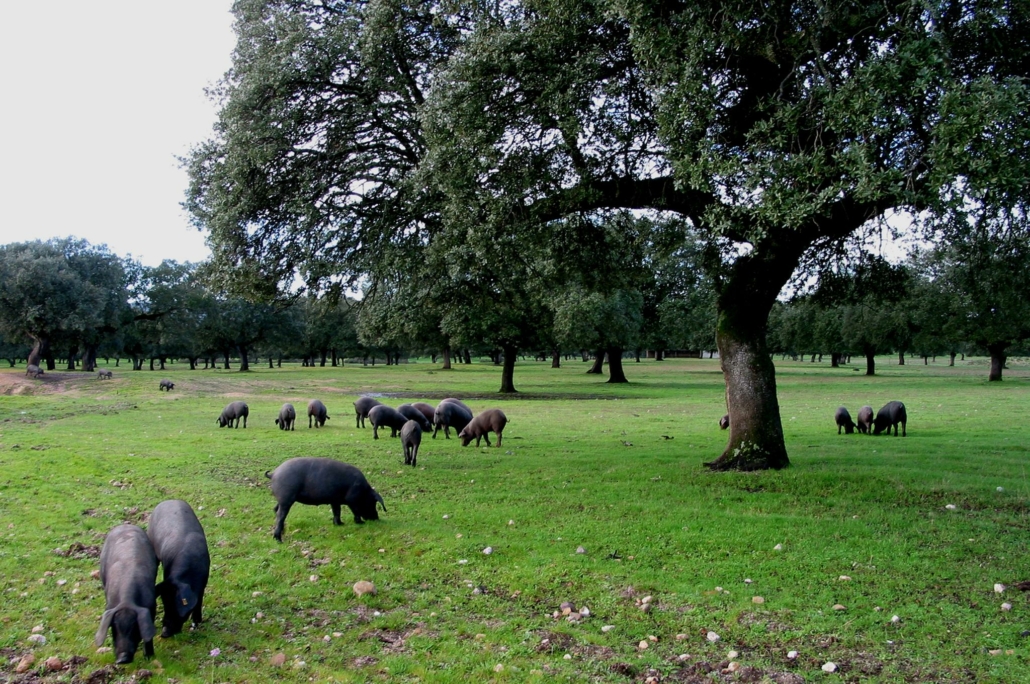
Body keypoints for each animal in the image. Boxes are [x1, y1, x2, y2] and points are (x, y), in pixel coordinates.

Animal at [96, 523, 159, 663]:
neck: (127, 600)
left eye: (135, 628)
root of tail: (124, 524)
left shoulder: (151, 606)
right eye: (114, 627)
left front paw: (149, 656)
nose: (122, 659)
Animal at [147, 500, 209, 638]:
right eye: (164, 603)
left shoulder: (203, 581)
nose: (164, 633)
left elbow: (199, 600)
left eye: (175, 606)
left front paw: (196, 624)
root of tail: (168, 500)